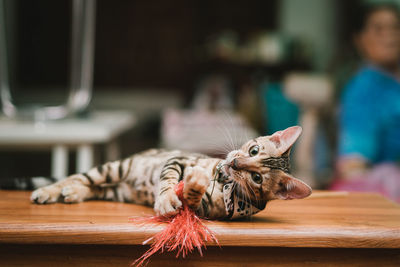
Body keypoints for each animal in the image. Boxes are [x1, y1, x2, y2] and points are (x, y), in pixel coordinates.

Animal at [31, 126, 312, 221]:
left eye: (256, 178)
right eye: (253, 150)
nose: (235, 163)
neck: (222, 180)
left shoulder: (206, 210)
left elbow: (191, 198)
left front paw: (193, 186)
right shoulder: (178, 160)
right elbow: (168, 180)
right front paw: (166, 198)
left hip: (117, 191)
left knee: (93, 187)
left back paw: (72, 193)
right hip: (116, 167)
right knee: (79, 177)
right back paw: (48, 191)